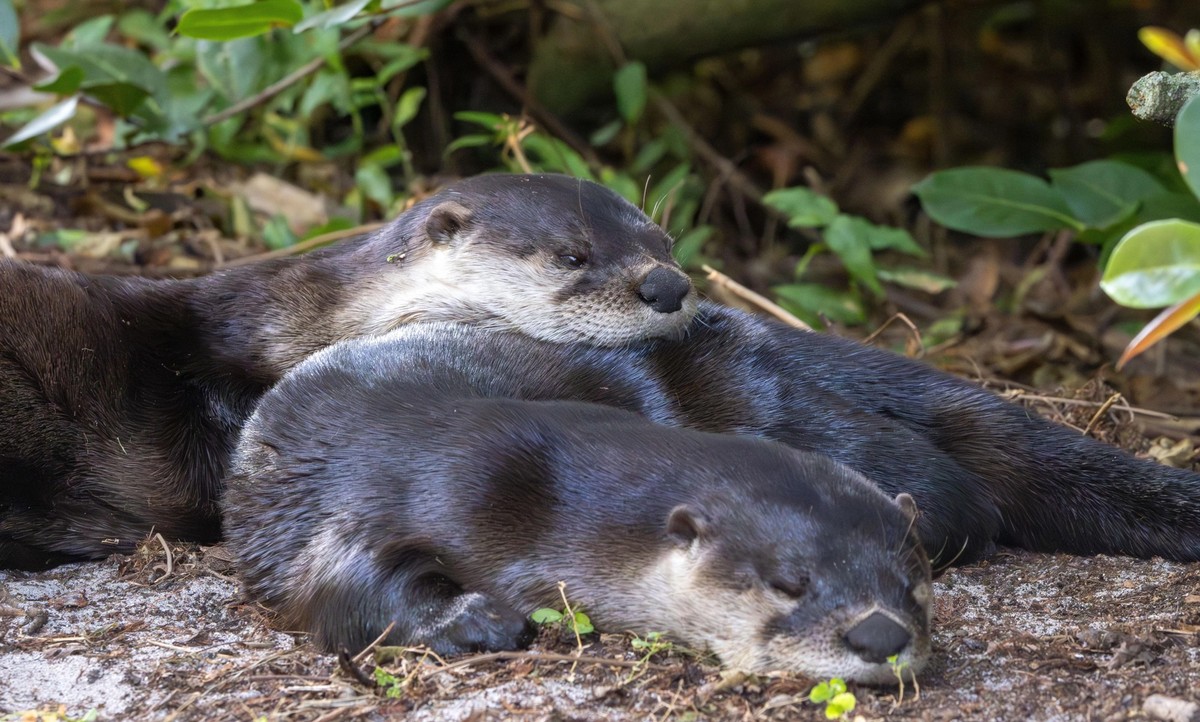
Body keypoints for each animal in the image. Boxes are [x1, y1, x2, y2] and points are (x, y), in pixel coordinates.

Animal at [224, 364, 933, 684]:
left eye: (914, 586)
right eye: (789, 583)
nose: (881, 635)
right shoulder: (447, 475)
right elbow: (336, 580)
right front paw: (476, 620)